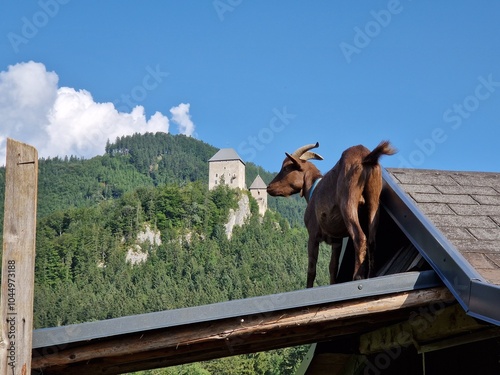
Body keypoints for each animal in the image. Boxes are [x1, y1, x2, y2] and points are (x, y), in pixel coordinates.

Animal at [268, 141, 396, 288]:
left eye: (286, 168)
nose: (269, 187)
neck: (313, 190)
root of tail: (365, 157)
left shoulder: (313, 235)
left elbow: (311, 268)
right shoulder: (337, 240)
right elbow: (333, 267)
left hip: (348, 200)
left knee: (359, 236)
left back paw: (357, 277)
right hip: (374, 200)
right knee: (372, 240)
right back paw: (371, 275)